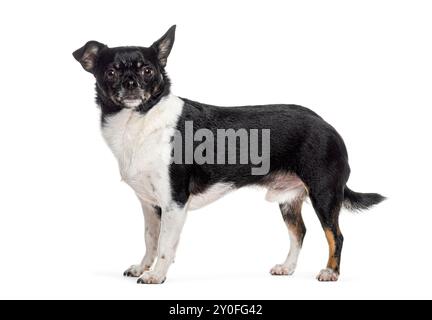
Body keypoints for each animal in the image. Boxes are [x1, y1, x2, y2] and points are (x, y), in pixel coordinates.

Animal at [73, 25, 384, 284]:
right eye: (111, 72)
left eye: (147, 71)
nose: (130, 83)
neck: (138, 121)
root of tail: (327, 125)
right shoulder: (150, 204)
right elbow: (151, 238)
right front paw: (142, 267)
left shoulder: (174, 202)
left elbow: (165, 244)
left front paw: (156, 275)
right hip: (289, 200)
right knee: (300, 232)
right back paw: (287, 267)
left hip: (324, 194)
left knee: (336, 236)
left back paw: (331, 272)